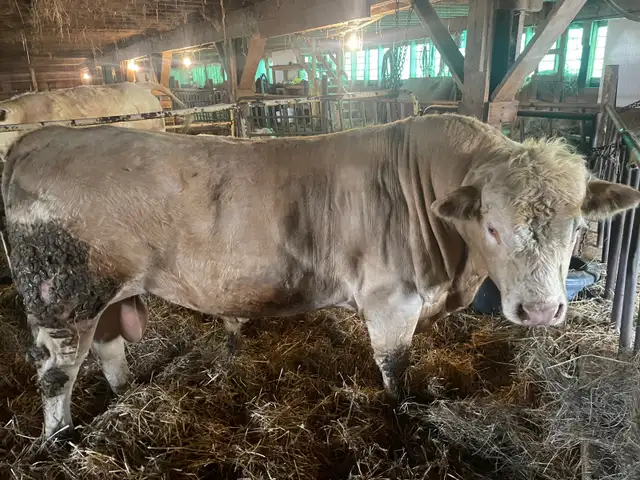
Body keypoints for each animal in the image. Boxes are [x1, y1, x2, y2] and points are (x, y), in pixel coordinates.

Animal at [3, 113, 640, 439]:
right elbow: (394, 366)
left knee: (109, 347)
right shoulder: (391, 299)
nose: (540, 311)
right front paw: (403, 415)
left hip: (105, 294)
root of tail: (40, 137)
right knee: (56, 374)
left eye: (577, 224)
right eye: (491, 226)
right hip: (61, 298)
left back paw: (125, 393)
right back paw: (59, 439)